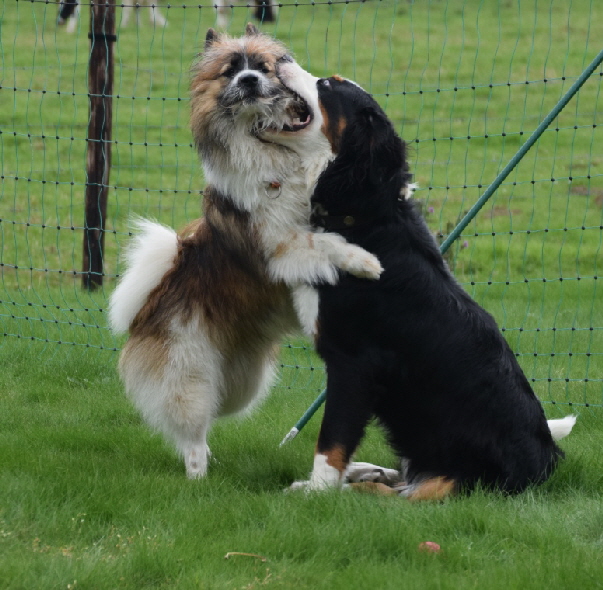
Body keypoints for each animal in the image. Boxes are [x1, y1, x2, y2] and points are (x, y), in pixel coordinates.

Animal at [108, 28, 382, 480]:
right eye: (231, 71)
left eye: (263, 67)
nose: (250, 80)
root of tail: (146, 303)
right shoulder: (280, 246)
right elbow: (323, 242)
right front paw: (364, 260)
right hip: (189, 372)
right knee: (190, 430)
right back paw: (198, 477)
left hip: (243, 384)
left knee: (213, 416)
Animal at [294, 73, 580, 500]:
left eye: (327, 86)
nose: (281, 64)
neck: (367, 217)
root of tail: (544, 461)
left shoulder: (354, 363)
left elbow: (332, 440)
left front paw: (316, 490)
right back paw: (369, 472)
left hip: (455, 479)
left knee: (404, 495)